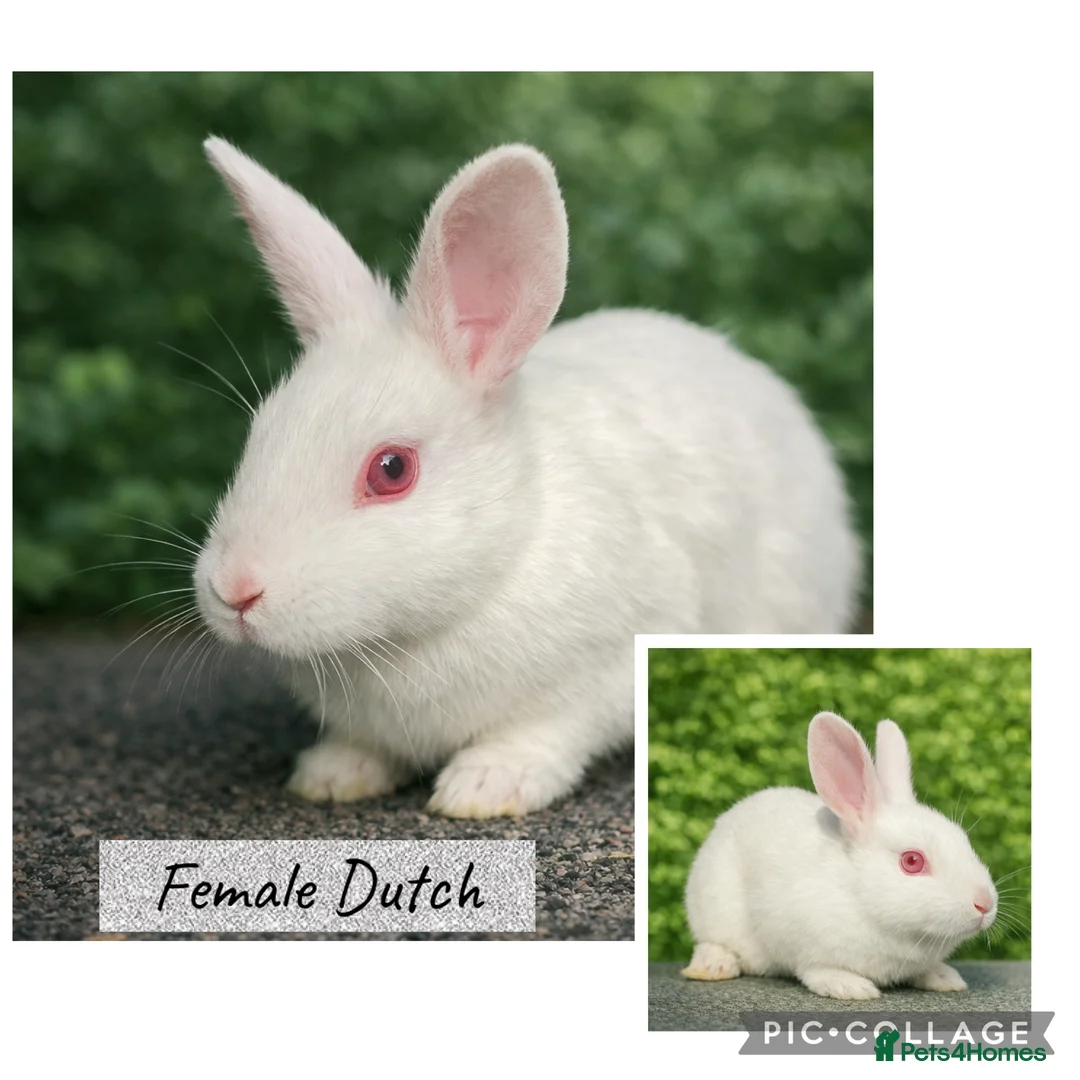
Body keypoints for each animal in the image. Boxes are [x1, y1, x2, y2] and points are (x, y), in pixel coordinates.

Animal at [192, 137, 860, 818]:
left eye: (391, 469)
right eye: (258, 434)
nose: (235, 589)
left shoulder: (613, 663)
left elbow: (548, 731)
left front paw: (485, 786)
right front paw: (332, 775)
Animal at [682, 712, 997, 998]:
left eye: (963, 840)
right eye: (912, 861)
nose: (984, 904)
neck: (858, 895)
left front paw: (945, 978)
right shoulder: (806, 944)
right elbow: (818, 970)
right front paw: (851, 987)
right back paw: (713, 965)